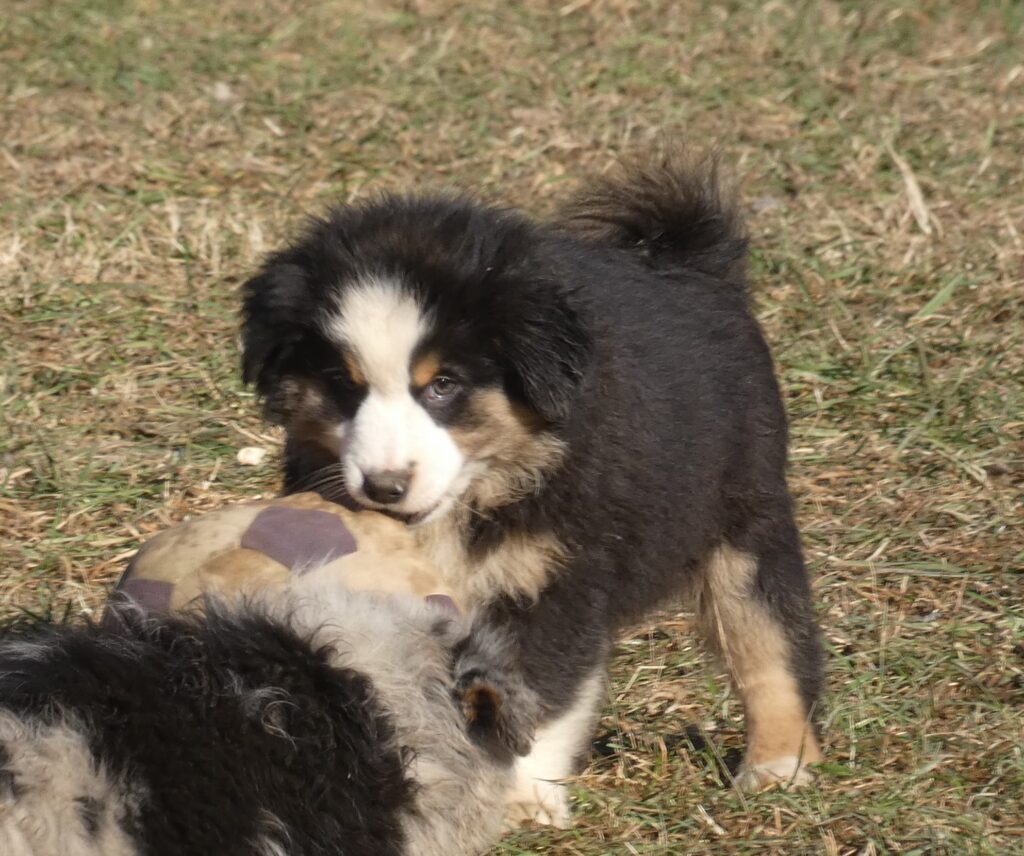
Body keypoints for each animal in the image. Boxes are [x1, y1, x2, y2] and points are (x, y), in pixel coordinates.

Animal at [243, 148, 827, 823]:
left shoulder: (556, 579)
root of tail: (693, 262)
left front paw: (522, 802)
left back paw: (778, 766)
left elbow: (536, 693)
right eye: (342, 382)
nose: (384, 487)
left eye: (443, 384)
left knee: (771, 640)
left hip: (743, 512)